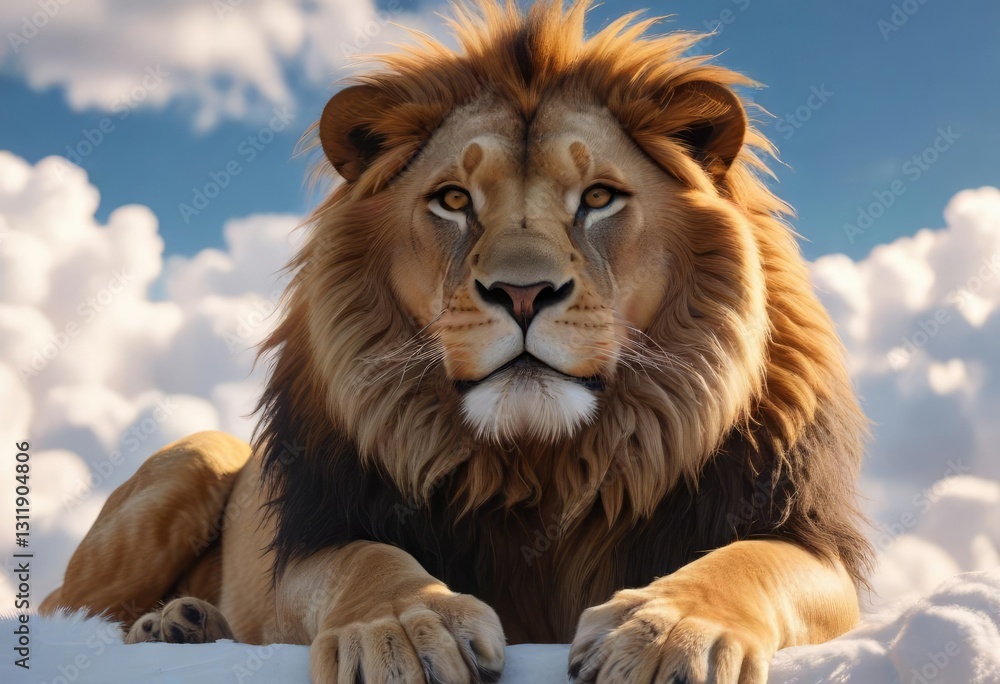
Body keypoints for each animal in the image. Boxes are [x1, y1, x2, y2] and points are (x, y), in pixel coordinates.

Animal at [41, 2, 872, 682]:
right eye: (452, 200)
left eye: (599, 197)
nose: (523, 293)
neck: (544, 463)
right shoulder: (314, 538)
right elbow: (368, 561)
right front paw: (406, 631)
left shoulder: (802, 537)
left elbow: (743, 563)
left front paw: (667, 633)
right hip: (197, 457)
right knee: (63, 614)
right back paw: (168, 625)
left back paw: (189, 623)